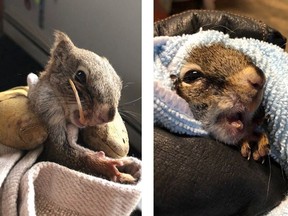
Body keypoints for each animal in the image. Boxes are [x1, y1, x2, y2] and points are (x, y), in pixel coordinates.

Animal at [27, 30, 140, 184]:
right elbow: (61, 153)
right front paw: (108, 167)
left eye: (119, 86)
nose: (108, 116)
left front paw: (127, 164)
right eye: (80, 76)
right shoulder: (47, 112)